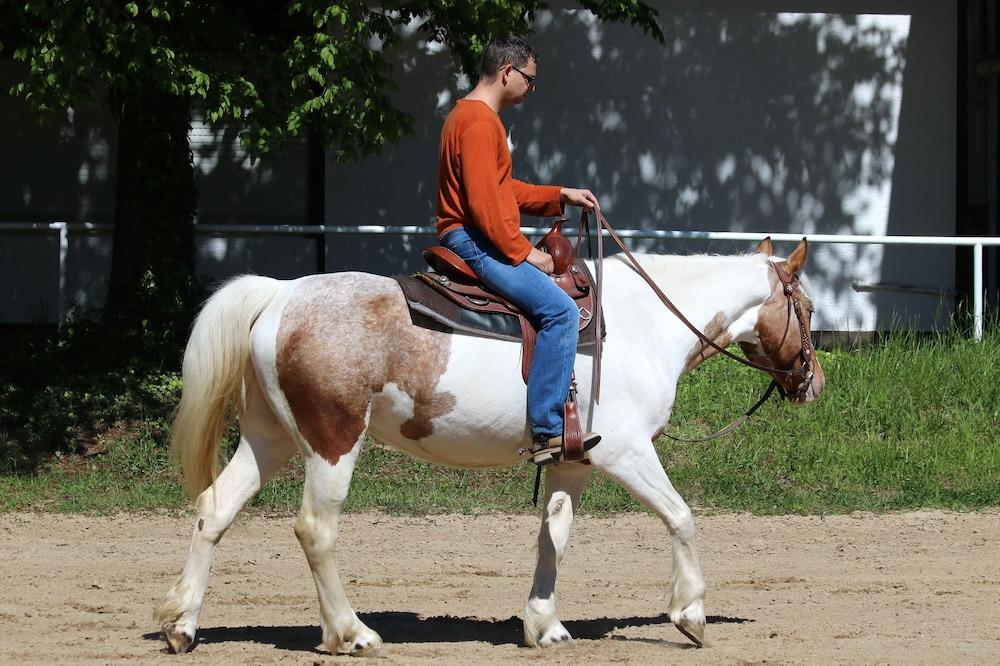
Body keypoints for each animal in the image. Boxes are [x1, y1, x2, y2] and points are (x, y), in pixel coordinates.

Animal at [152, 235, 820, 652]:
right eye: (808, 308)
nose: (813, 382)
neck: (644, 325)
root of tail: (282, 292)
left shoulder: (575, 460)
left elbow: (554, 536)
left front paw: (544, 626)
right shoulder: (626, 453)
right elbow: (682, 517)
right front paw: (691, 615)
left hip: (269, 439)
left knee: (214, 510)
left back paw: (182, 624)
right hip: (332, 442)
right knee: (316, 530)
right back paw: (351, 633)